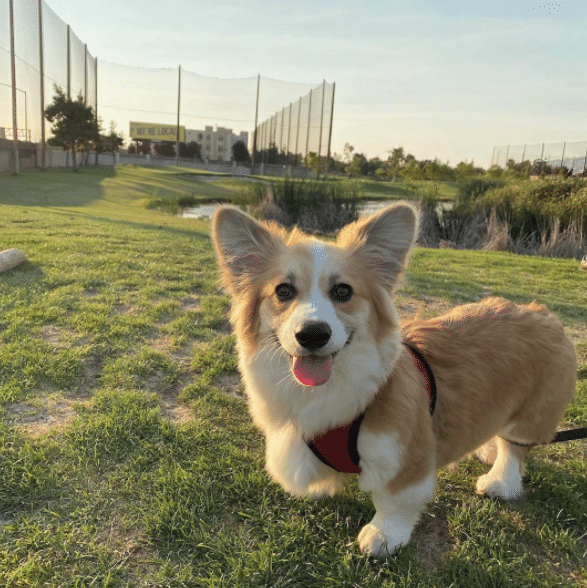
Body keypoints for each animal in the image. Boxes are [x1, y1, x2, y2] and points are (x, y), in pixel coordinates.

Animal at [212, 202, 580, 556]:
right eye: (284, 291)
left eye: (343, 291)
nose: (313, 334)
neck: (327, 388)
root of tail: (542, 312)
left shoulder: (404, 455)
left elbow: (394, 503)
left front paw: (383, 536)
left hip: (531, 416)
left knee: (514, 450)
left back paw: (500, 481)